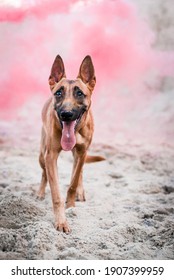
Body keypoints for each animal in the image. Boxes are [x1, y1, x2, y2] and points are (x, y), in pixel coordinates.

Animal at [37, 54, 104, 232]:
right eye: (59, 93)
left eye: (80, 93)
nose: (66, 114)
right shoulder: (51, 156)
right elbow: (56, 193)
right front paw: (61, 221)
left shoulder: (82, 152)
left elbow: (73, 182)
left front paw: (71, 205)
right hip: (42, 155)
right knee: (44, 172)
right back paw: (40, 192)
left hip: (80, 154)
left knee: (78, 171)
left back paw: (80, 192)